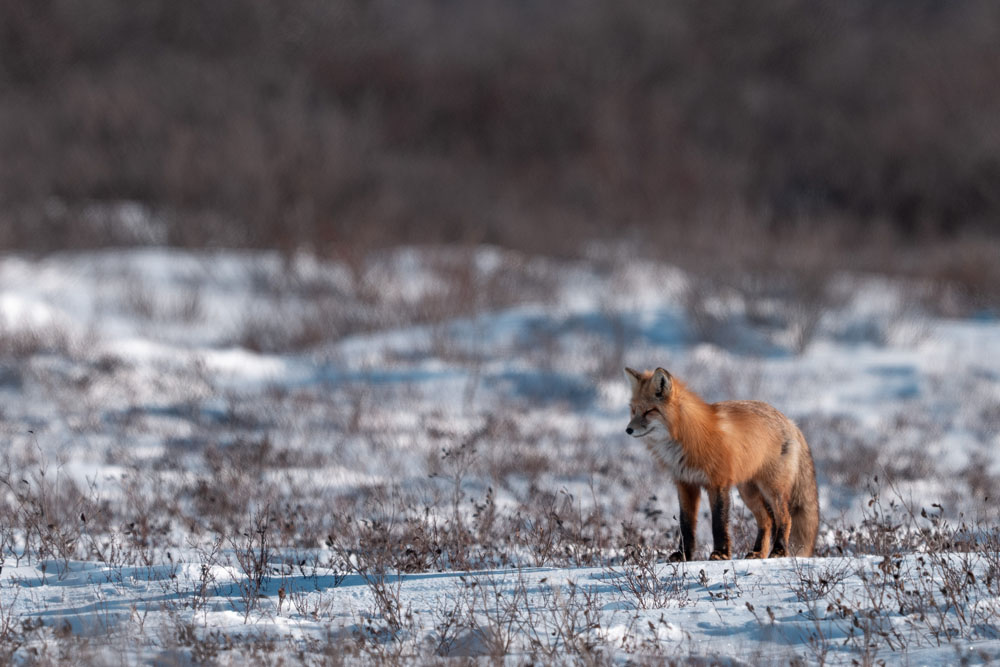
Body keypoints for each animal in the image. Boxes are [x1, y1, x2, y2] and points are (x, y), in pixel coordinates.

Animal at [624, 368, 820, 560]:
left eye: (649, 411)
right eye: (633, 411)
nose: (628, 430)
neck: (687, 436)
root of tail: (791, 422)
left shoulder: (718, 483)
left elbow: (718, 522)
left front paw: (720, 553)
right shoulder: (685, 484)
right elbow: (686, 525)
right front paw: (684, 555)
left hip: (772, 488)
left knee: (785, 518)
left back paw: (778, 551)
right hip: (748, 491)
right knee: (767, 521)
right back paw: (758, 553)